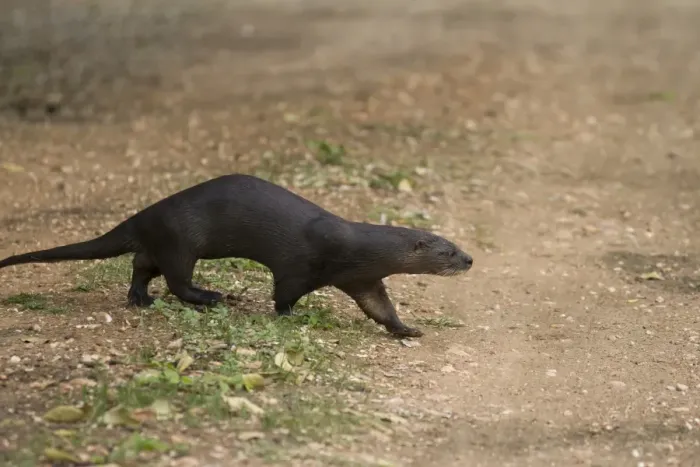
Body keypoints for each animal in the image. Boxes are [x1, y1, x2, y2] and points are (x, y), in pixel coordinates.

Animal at [0, 174, 473, 337]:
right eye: (448, 251)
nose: (469, 261)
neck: (355, 248)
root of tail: (144, 215)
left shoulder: (363, 279)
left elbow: (380, 308)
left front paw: (407, 329)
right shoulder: (300, 265)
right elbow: (284, 293)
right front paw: (289, 315)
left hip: (160, 243)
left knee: (141, 268)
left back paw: (140, 299)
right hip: (181, 239)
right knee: (178, 279)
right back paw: (214, 297)